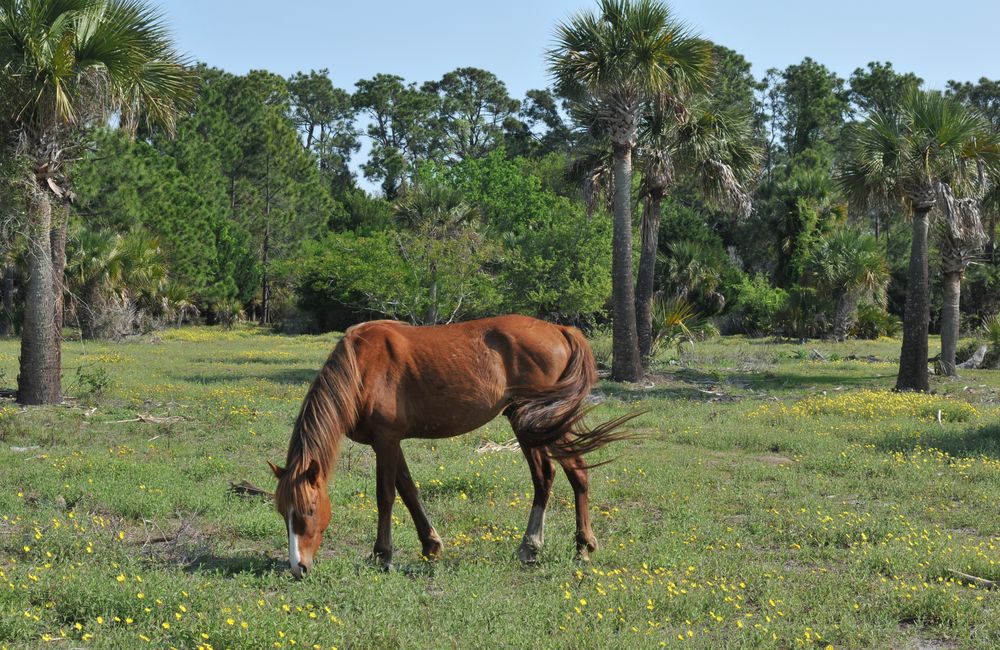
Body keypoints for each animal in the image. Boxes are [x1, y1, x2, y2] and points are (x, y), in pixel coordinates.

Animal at [268, 314, 638, 578]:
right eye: (283, 512)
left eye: (309, 510)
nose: (298, 568)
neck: (362, 367)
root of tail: (561, 330)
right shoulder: (390, 442)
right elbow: (409, 490)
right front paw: (430, 545)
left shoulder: (385, 441)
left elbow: (385, 496)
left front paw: (382, 555)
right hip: (530, 425)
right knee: (545, 477)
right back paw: (531, 547)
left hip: (541, 423)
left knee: (575, 472)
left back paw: (582, 546)